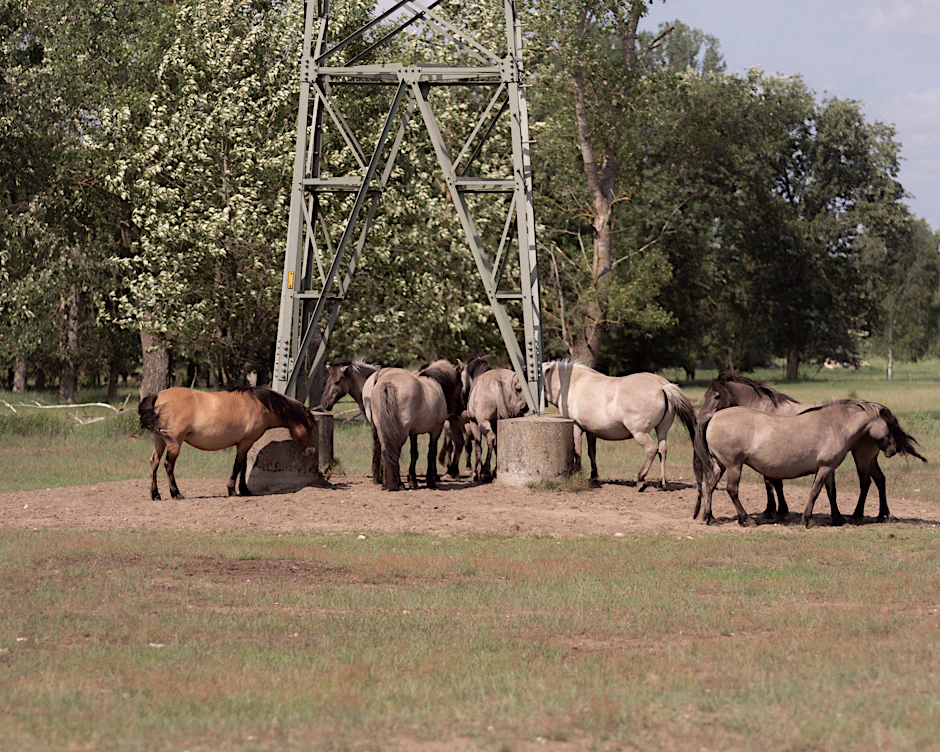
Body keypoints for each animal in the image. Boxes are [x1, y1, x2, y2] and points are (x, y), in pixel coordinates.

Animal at [138, 386, 317, 500]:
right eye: (309, 426)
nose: (312, 451)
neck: (261, 405)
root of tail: (158, 396)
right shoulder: (245, 443)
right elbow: (237, 467)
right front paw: (232, 490)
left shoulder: (244, 443)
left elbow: (243, 467)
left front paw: (244, 490)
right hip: (175, 442)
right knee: (168, 465)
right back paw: (176, 493)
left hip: (160, 441)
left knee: (154, 463)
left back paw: (155, 495)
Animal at [371, 360, 462, 491]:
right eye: (460, 385)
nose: (461, 408)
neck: (436, 384)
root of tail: (389, 382)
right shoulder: (436, 430)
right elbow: (431, 453)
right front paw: (430, 481)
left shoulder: (413, 433)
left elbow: (414, 454)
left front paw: (413, 481)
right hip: (401, 432)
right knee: (394, 450)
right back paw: (397, 484)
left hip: (382, 429)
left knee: (385, 450)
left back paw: (385, 484)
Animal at [542, 360, 696, 489]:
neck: (572, 382)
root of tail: (662, 386)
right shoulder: (591, 431)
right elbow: (592, 453)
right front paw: (593, 476)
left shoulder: (576, 426)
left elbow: (577, 450)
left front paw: (577, 473)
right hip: (662, 429)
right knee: (662, 450)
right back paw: (662, 483)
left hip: (640, 432)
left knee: (652, 449)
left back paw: (641, 479)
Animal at [692, 371, 904, 522]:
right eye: (889, 426)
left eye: (716, 396)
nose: (892, 450)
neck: (834, 424)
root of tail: (713, 417)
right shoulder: (824, 467)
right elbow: (813, 490)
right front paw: (802, 517)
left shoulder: (827, 467)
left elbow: (830, 492)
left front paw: (837, 518)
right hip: (733, 466)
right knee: (731, 489)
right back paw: (744, 520)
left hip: (722, 465)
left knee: (710, 484)